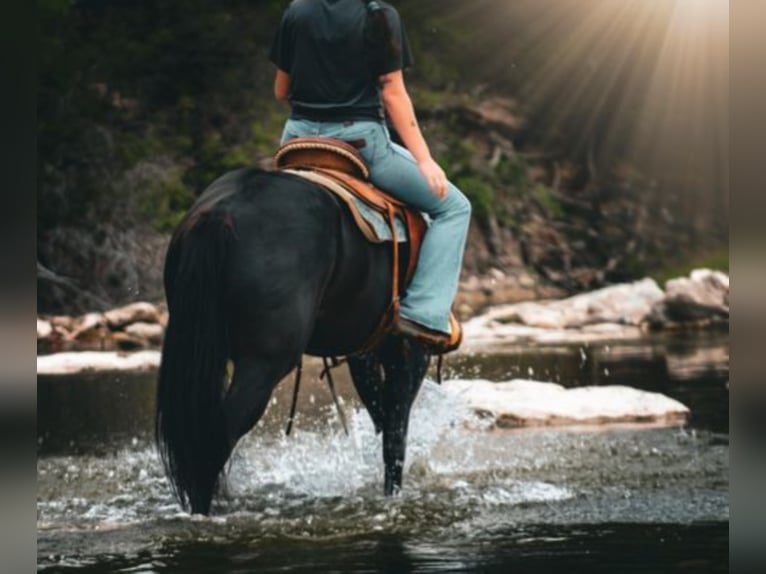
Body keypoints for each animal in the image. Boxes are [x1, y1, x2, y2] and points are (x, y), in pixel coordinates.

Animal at [153, 166, 436, 516]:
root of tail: (221, 212)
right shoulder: (409, 349)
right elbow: (395, 434)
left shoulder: (364, 351)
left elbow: (381, 417)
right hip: (264, 364)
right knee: (217, 436)